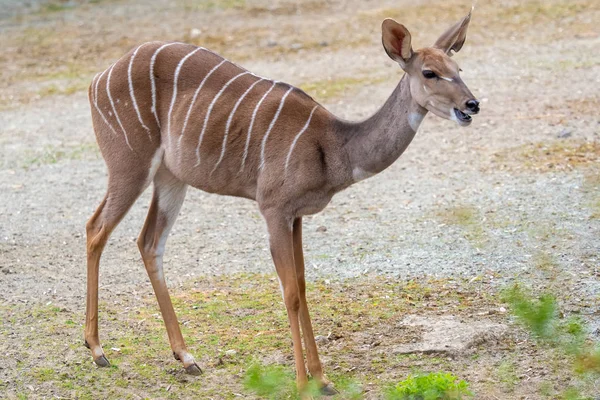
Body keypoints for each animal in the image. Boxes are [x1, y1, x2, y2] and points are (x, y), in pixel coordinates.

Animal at [84, 10, 478, 396]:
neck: (334, 146)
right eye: (429, 72)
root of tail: (97, 80)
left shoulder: (298, 215)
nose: (471, 104)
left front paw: (323, 379)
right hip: (130, 164)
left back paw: (187, 357)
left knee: (149, 242)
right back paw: (98, 350)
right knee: (96, 229)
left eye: (459, 69)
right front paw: (303, 383)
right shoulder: (273, 209)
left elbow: (302, 285)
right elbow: (289, 292)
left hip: (170, 178)